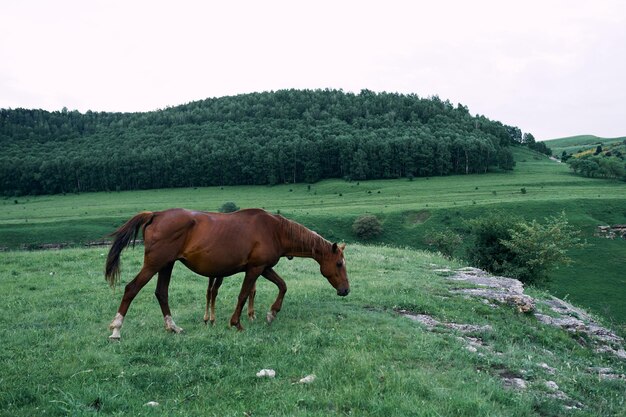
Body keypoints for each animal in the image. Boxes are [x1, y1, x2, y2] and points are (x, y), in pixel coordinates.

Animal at [105, 208, 348, 338]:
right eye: (338, 264)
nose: (345, 290)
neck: (275, 230)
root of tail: (156, 214)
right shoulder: (255, 269)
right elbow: (243, 295)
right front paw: (236, 323)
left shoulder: (264, 268)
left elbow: (282, 285)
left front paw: (272, 313)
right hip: (155, 264)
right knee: (132, 288)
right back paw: (116, 329)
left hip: (166, 265)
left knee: (161, 293)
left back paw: (172, 327)